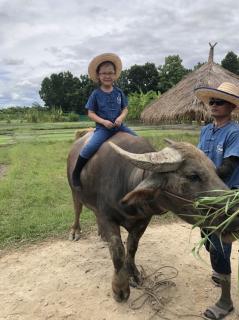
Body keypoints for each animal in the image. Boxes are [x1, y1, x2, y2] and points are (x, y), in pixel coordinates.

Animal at [66, 131, 239, 302]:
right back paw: (75, 232)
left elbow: (132, 247)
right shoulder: (107, 217)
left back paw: (101, 234)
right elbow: (118, 250)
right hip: (74, 192)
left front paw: (133, 274)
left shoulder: (143, 221)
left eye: (216, 172)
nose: (235, 215)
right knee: (77, 209)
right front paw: (120, 288)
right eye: (193, 176)